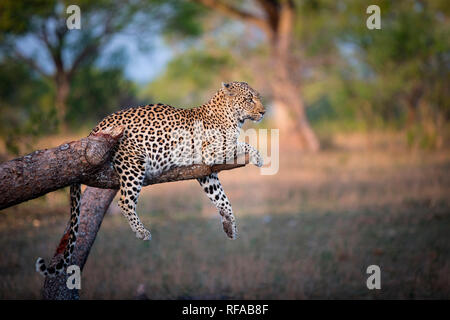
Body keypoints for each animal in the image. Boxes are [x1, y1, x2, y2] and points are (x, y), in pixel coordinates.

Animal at [37, 81, 268, 276]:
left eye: (257, 97)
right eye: (249, 99)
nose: (264, 112)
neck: (231, 117)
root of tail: (96, 127)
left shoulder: (206, 172)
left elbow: (222, 200)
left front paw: (229, 225)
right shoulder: (210, 151)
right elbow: (241, 144)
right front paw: (258, 156)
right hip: (133, 163)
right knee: (125, 201)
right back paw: (141, 232)